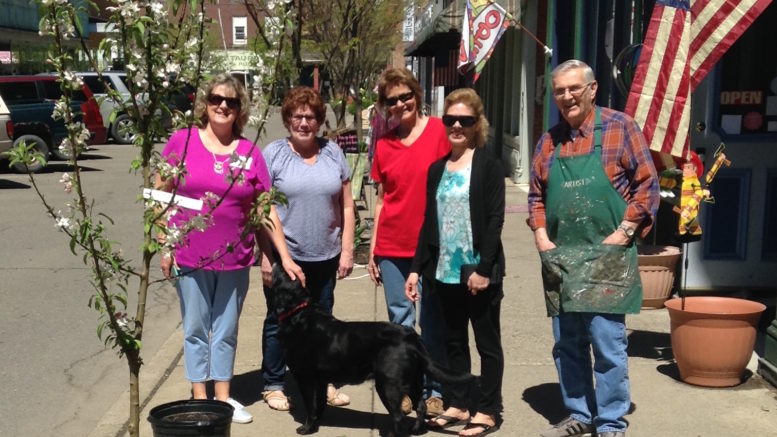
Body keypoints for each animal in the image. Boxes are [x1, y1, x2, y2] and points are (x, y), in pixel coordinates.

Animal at [266, 264, 472, 434]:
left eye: (286, 273)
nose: (277, 260)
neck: (298, 313)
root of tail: (411, 337)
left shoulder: (305, 377)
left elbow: (310, 405)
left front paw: (307, 428)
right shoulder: (321, 379)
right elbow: (320, 403)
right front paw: (318, 420)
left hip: (387, 383)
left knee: (398, 416)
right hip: (415, 379)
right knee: (420, 406)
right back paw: (416, 429)